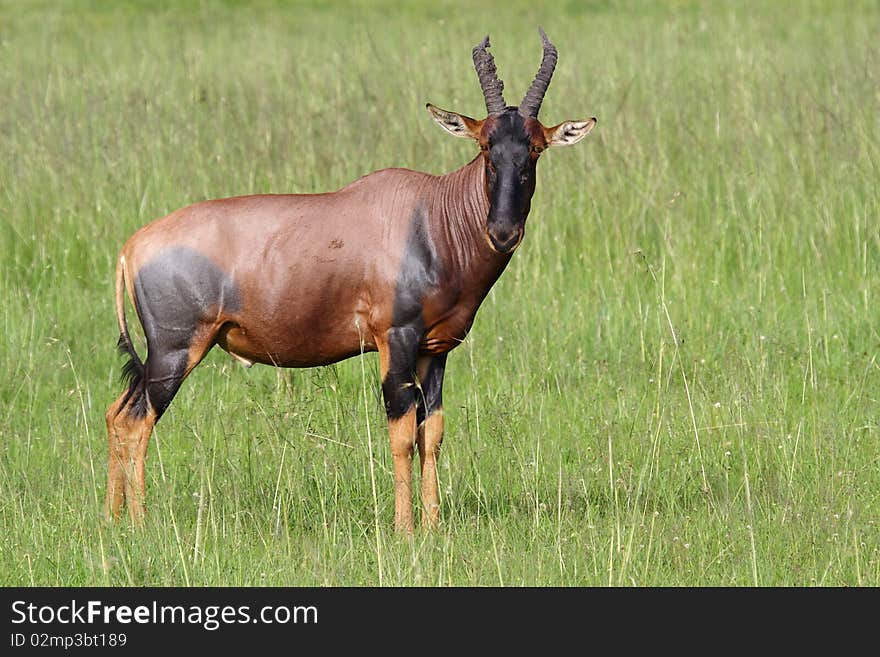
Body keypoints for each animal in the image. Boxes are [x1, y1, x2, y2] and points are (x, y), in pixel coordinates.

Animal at [105, 32, 600, 532]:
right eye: (485, 147)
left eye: (535, 148)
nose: (503, 232)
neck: (429, 216)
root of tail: (132, 246)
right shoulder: (395, 340)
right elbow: (401, 433)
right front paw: (405, 531)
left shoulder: (435, 350)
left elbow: (432, 433)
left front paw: (433, 527)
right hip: (176, 349)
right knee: (137, 421)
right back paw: (140, 523)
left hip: (160, 356)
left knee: (116, 413)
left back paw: (113, 520)